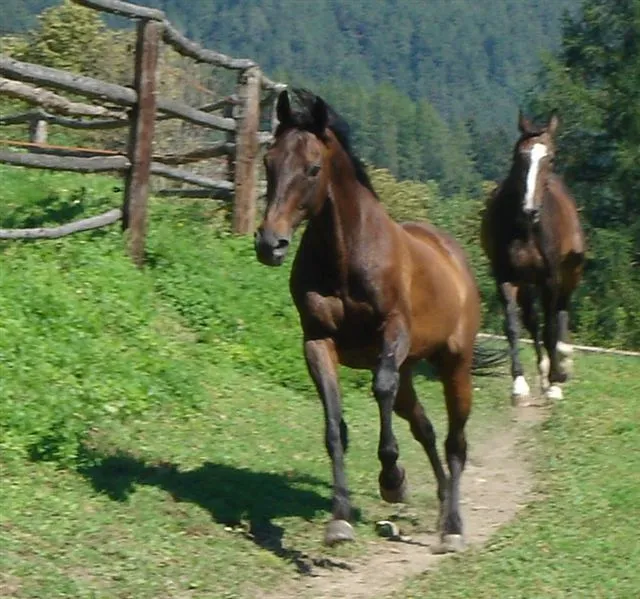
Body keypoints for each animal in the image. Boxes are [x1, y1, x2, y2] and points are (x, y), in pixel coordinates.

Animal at [254, 88, 494, 553]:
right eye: (269, 162)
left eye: (313, 168)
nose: (270, 244)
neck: (347, 257)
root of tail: (454, 257)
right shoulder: (317, 342)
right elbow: (334, 425)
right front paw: (339, 520)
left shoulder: (393, 335)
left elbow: (380, 389)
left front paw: (391, 478)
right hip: (411, 373)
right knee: (425, 427)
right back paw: (440, 505)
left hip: (453, 364)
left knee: (455, 441)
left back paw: (453, 527)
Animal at [481, 111, 586, 405]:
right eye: (519, 156)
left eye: (551, 158)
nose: (529, 210)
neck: (527, 230)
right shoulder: (505, 277)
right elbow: (513, 327)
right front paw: (519, 384)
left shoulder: (551, 278)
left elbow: (551, 327)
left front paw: (555, 383)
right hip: (528, 283)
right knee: (533, 321)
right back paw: (544, 369)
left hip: (569, 275)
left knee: (561, 311)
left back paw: (562, 363)